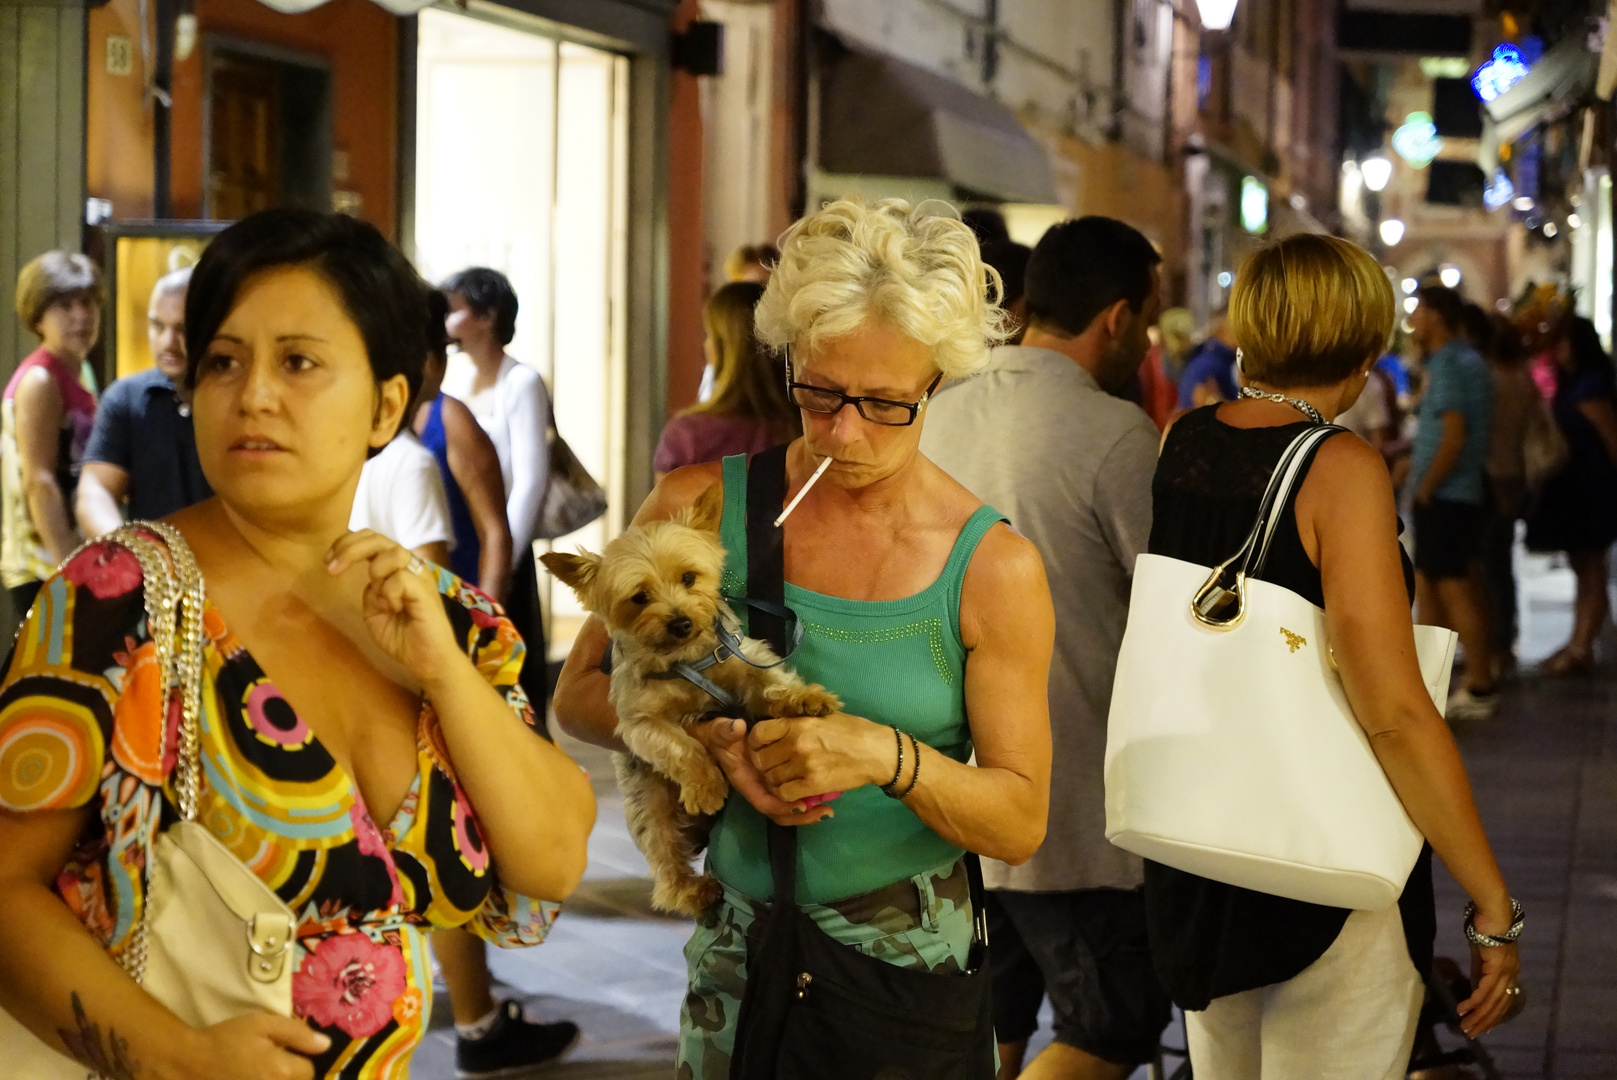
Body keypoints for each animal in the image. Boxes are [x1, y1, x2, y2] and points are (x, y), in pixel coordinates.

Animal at [546, 485, 847, 918]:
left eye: (689, 577)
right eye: (639, 597)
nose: (681, 622)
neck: (685, 660)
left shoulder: (742, 657)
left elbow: (771, 681)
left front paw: (804, 698)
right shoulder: (639, 722)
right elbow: (681, 745)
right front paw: (705, 785)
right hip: (650, 806)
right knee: (664, 853)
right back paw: (690, 890)